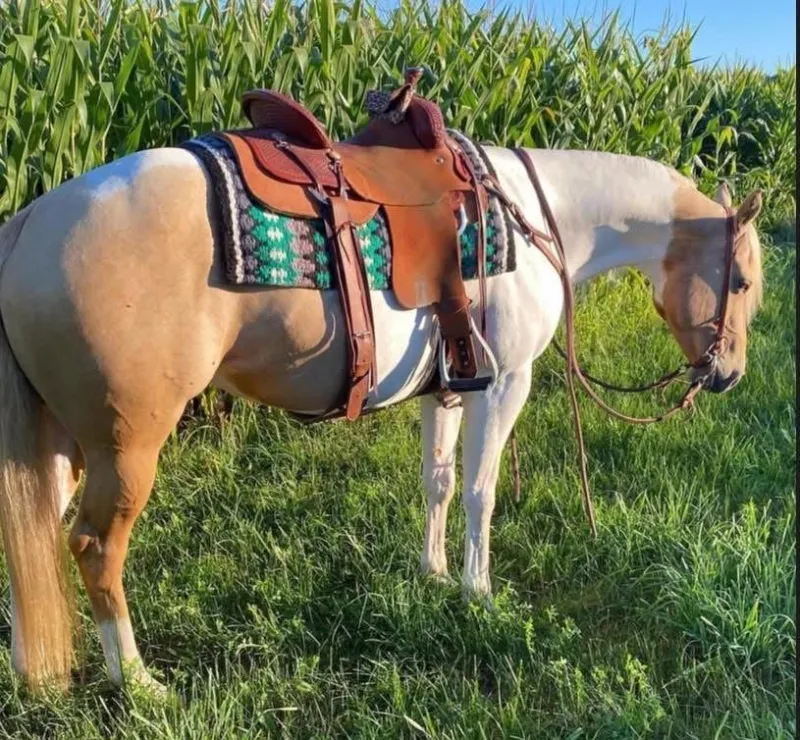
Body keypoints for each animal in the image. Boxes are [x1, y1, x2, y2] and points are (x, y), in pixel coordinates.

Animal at [0, 144, 764, 691]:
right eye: (743, 280)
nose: (727, 376)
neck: (540, 219)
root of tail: (32, 221)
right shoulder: (504, 384)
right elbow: (481, 493)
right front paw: (478, 593)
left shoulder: (448, 389)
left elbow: (440, 481)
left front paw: (432, 574)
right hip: (124, 447)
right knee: (95, 547)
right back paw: (136, 680)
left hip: (58, 446)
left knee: (31, 539)